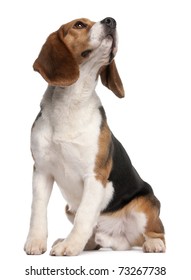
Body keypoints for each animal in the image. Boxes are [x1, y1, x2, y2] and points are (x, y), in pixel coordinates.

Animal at [24, 17, 166, 256]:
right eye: (79, 25)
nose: (111, 20)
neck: (71, 101)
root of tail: (118, 241)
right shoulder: (41, 171)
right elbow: (37, 210)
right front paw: (36, 242)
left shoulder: (95, 175)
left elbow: (84, 216)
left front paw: (69, 247)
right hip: (69, 208)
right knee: (92, 235)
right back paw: (79, 242)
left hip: (145, 206)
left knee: (156, 232)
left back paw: (153, 244)